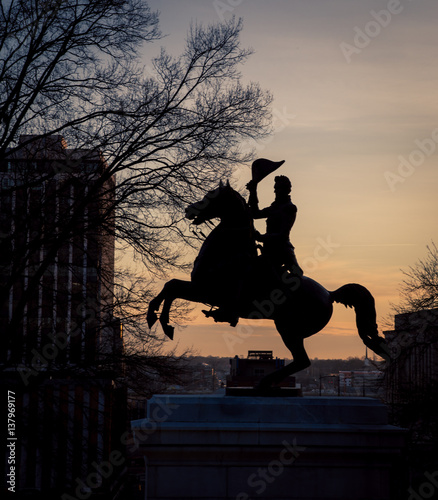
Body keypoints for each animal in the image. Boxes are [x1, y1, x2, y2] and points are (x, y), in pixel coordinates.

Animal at [146, 182, 386, 388]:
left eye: (211, 196)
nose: (188, 209)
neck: (226, 252)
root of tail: (329, 293)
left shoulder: (207, 291)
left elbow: (172, 287)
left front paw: (163, 323)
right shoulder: (200, 289)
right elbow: (170, 286)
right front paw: (156, 317)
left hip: (288, 328)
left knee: (302, 360)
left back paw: (265, 381)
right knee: (301, 360)